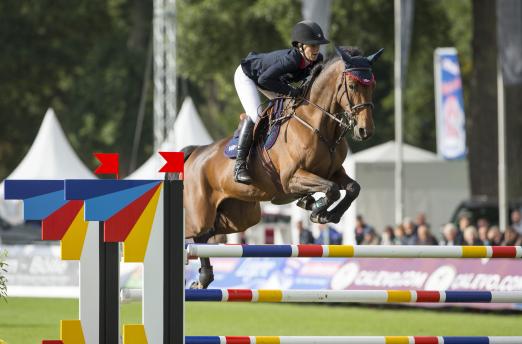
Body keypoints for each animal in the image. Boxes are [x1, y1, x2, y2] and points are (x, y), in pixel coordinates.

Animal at [168, 45, 382, 288]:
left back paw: (204, 278)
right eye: (353, 85)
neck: (318, 124)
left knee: (208, 236)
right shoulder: (292, 179)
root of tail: (195, 153)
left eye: (372, 85)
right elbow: (332, 189)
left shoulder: (334, 172)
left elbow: (352, 188)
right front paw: (317, 211)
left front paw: (325, 212)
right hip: (200, 213)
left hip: (241, 216)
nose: (365, 131)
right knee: (195, 233)